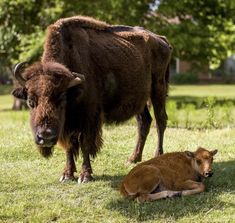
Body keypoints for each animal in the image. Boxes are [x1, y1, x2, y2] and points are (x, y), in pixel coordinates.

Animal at [12, 15, 171, 183]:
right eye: (30, 101)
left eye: (62, 99)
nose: (46, 137)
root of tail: (162, 40)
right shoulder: (67, 124)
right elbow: (69, 144)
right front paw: (67, 174)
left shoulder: (89, 115)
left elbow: (85, 142)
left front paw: (85, 175)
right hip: (140, 99)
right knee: (144, 122)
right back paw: (133, 159)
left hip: (158, 88)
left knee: (160, 120)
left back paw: (158, 155)